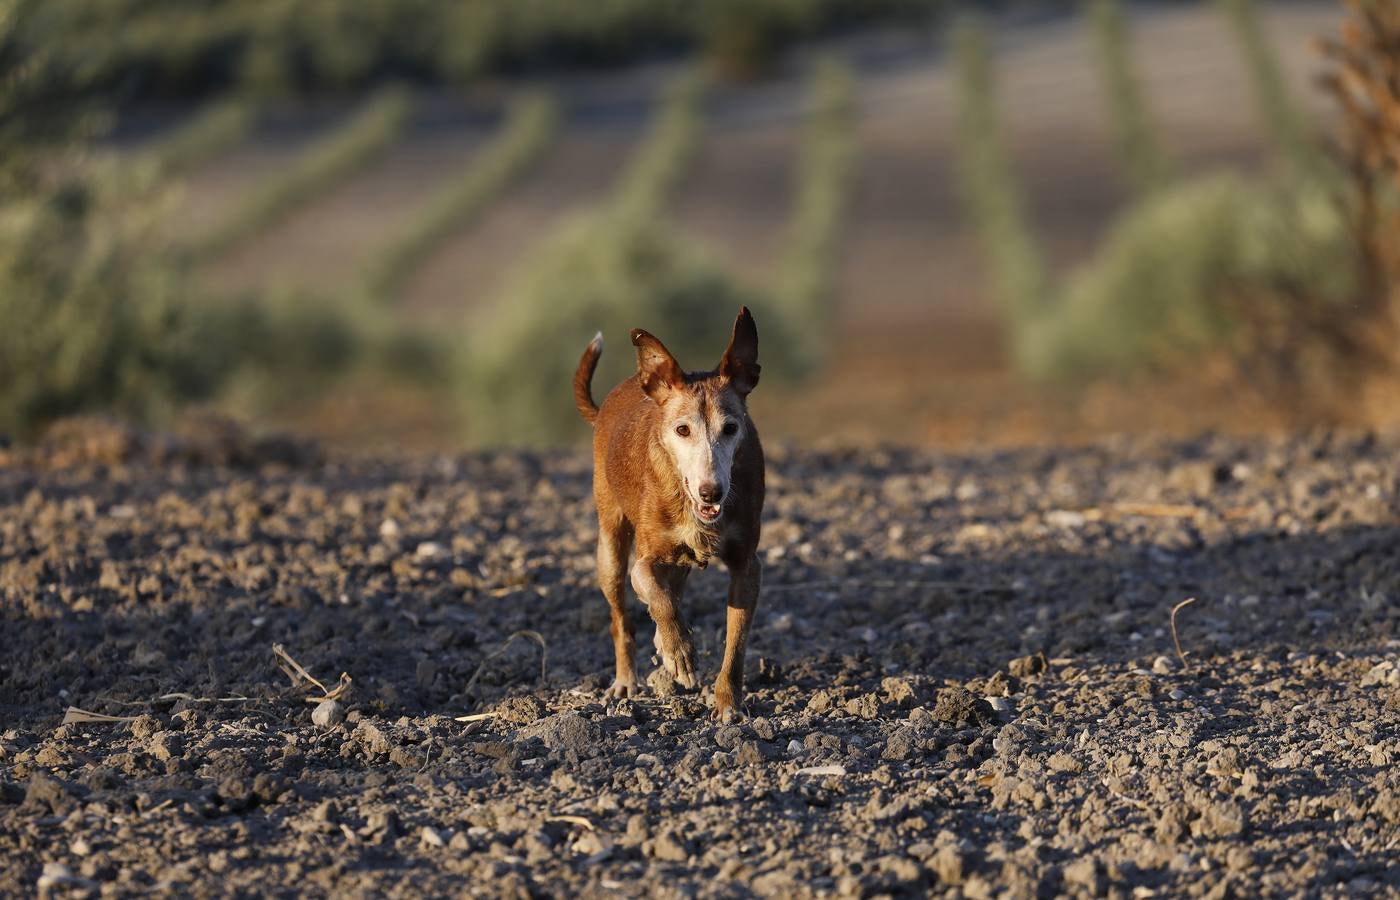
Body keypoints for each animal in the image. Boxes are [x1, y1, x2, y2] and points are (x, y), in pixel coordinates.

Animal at [571, 306, 767, 722]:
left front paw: (728, 703)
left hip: (677, 562)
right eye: (682, 430)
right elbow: (656, 596)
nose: (712, 491)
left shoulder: (747, 565)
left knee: (672, 590)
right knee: (622, 619)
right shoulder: (646, 560)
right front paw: (679, 652)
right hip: (610, 548)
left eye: (731, 428)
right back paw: (627, 680)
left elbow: (736, 644)